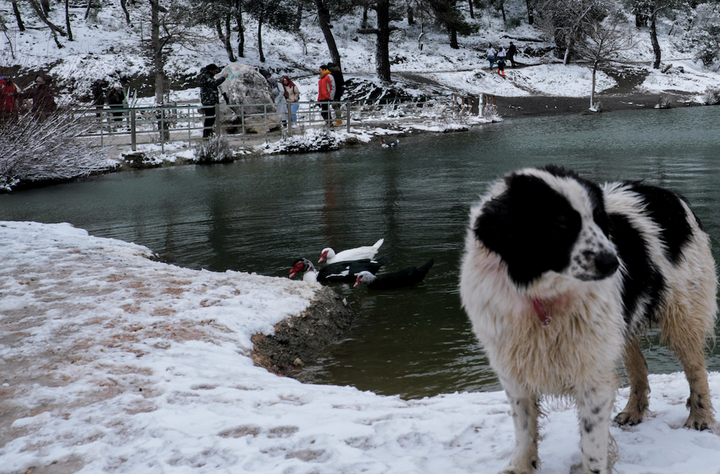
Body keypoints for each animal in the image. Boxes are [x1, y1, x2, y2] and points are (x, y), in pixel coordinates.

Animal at [462, 167, 716, 474]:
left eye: (597, 220)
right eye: (560, 224)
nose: (613, 262)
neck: (542, 295)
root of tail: (668, 193)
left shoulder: (591, 372)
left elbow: (592, 441)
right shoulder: (514, 368)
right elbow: (524, 426)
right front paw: (521, 466)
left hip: (683, 312)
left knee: (696, 367)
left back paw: (700, 417)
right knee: (638, 365)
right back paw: (633, 411)